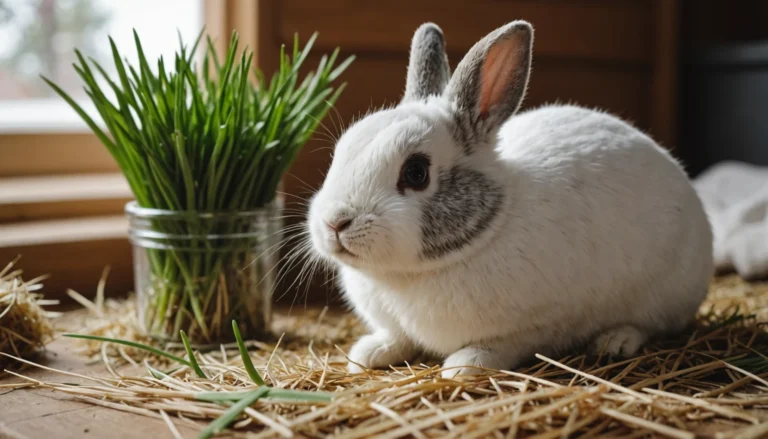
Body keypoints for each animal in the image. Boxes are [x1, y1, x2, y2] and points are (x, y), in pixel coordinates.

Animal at [307, 20, 713, 378]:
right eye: (341, 151)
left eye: (416, 173)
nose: (334, 222)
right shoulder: (398, 323)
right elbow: (397, 337)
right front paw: (367, 353)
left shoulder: (538, 325)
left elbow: (502, 346)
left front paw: (462, 366)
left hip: (663, 295)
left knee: (652, 325)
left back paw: (615, 341)